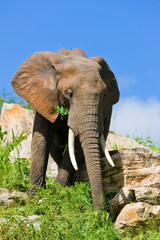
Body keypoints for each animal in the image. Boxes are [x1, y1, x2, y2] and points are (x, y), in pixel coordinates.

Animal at [11, 47, 119, 209]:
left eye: (104, 95)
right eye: (69, 94)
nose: (99, 213)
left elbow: (76, 145)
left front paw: (56, 191)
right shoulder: (43, 98)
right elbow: (40, 139)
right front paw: (36, 199)